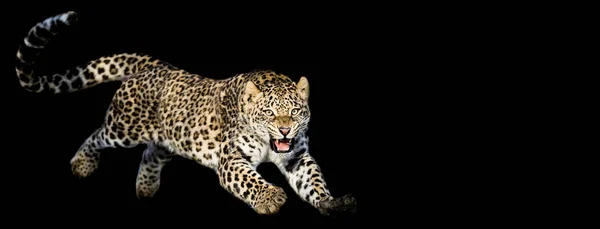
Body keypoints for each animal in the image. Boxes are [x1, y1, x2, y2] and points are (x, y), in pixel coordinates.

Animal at [15, 10, 356, 215]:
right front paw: (270, 198)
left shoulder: (298, 157)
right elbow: (249, 179)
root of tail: (156, 66)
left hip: (171, 139)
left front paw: (331, 202)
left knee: (151, 153)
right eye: (269, 113)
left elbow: (313, 181)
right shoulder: (231, 160)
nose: (285, 129)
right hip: (123, 128)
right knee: (98, 135)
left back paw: (146, 190)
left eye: (296, 112)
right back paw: (82, 164)